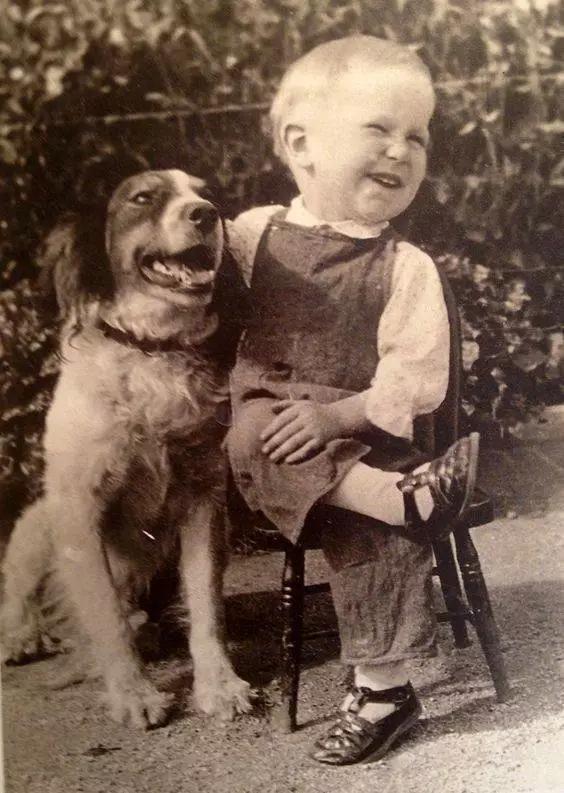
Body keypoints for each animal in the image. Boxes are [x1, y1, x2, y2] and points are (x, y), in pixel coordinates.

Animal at [0, 169, 251, 728]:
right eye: (143, 198)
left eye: (207, 193)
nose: (206, 213)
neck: (151, 349)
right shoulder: (79, 510)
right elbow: (106, 615)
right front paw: (133, 694)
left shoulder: (204, 501)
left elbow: (208, 607)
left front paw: (219, 685)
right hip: (36, 524)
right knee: (21, 596)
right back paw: (22, 635)